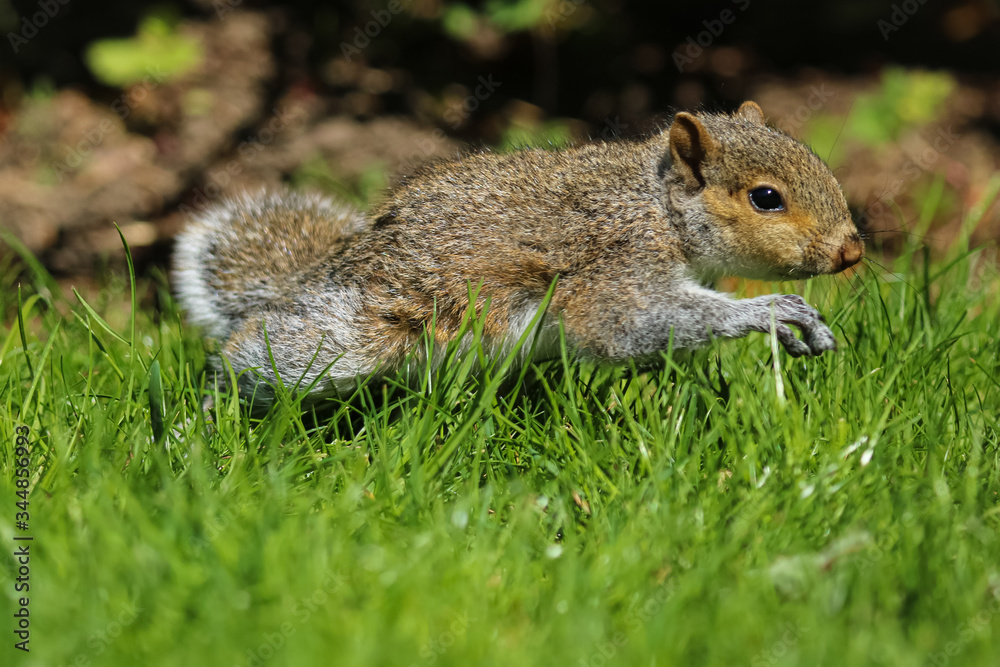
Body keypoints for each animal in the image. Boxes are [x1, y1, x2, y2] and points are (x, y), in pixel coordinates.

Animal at [173, 101, 863, 402]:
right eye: (766, 198)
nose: (853, 253)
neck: (658, 209)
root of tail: (327, 267)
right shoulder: (612, 268)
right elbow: (627, 323)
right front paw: (776, 312)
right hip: (361, 331)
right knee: (263, 351)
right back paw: (209, 415)